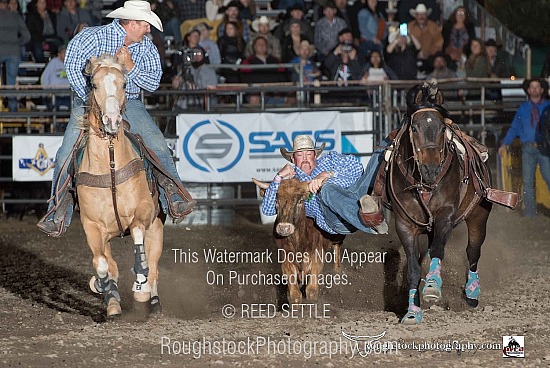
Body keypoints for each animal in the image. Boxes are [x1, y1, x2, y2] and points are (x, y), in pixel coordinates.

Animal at [77, 54, 164, 316]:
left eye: (124, 84)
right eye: (94, 85)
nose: (112, 120)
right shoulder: (91, 225)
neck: (110, 164)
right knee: (111, 264)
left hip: (157, 227)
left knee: (154, 266)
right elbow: (102, 264)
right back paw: (113, 301)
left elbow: (136, 232)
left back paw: (152, 300)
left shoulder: (144, 209)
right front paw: (105, 290)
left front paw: (140, 283)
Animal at [384, 85, 496, 324]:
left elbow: (438, 250)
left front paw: (432, 287)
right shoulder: (404, 225)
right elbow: (413, 268)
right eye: (414, 127)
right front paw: (412, 311)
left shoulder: (446, 215)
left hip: (479, 215)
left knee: (473, 251)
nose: (431, 168)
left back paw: (472, 293)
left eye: (442, 127)